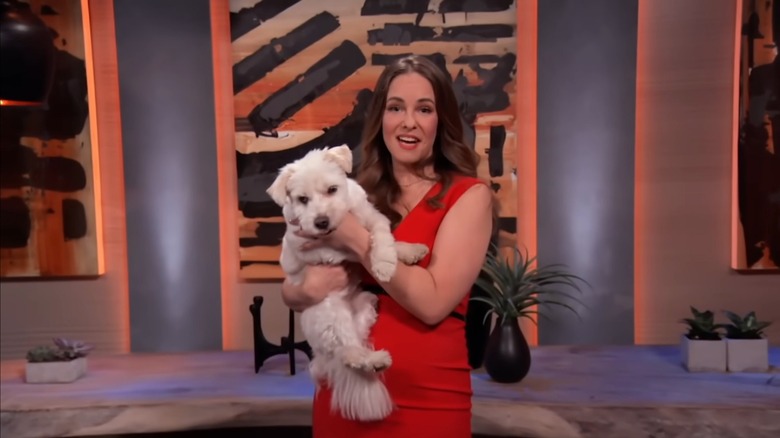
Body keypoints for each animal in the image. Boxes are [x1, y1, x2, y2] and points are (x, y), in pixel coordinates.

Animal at [266, 144, 426, 420]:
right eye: (302, 199)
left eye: (332, 189)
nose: (321, 222)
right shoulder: (320, 248)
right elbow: (354, 252)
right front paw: (386, 262)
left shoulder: (370, 216)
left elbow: (383, 236)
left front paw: (396, 256)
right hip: (330, 316)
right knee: (347, 350)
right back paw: (371, 360)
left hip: (365, 303)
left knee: (355, 340)